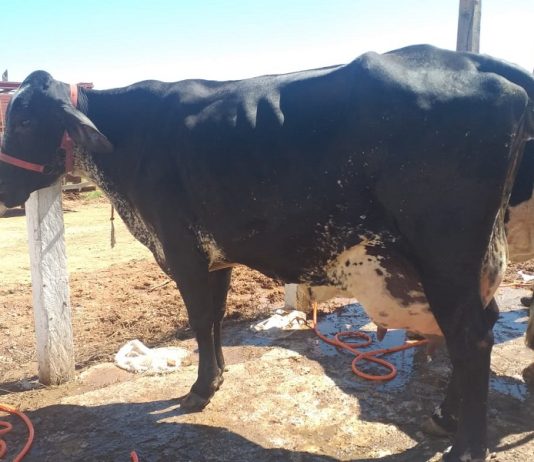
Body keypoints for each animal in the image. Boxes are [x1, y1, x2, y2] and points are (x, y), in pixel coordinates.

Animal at [0, 45, 533, 461]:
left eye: (23, 119)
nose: (4, 187)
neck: (129, 139)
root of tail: (474, 63)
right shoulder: (214, 255)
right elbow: (214, 319)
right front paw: (216, 378)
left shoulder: (183, 251)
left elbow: (200, 321)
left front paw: (198, 392)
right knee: (476, 329)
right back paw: (444, 417)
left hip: (447, 258)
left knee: (471, 338)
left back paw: (466, 448)